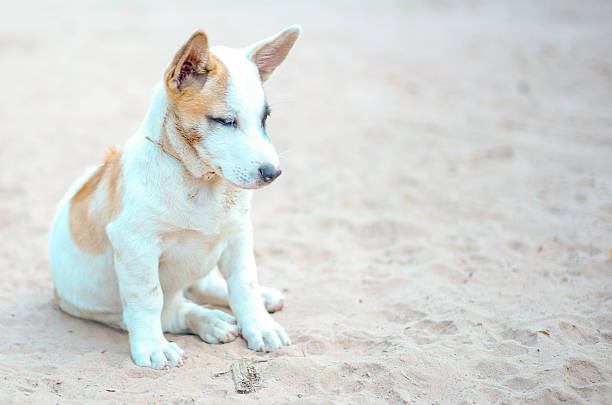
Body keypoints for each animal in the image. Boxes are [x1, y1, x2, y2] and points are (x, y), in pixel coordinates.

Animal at [48, 25, 302, 370]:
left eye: (264, 119)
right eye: (225, 121)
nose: (273, 173)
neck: (202, 182)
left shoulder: (238, 234)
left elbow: (243, 283)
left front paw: (259, 324)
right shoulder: (136, 245)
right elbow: (148, 299)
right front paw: (154, 346)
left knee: (204, 285)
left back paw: (259, 299)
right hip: (106, 309)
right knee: (171, 310)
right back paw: (208, 321)